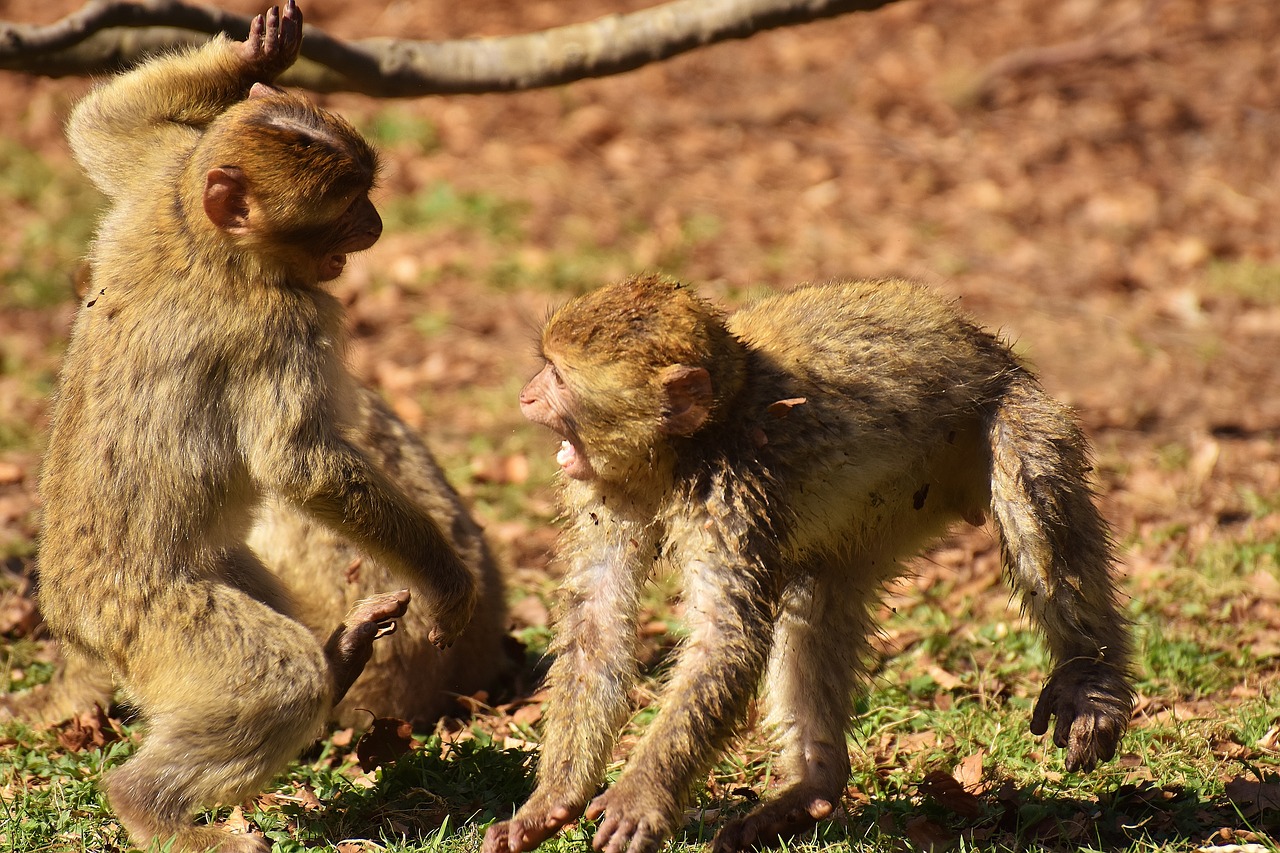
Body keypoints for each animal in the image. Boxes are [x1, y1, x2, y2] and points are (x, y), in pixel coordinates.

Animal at [34, 3, 477, 850]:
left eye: (366, 195)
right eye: (345, 208)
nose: (375, 224)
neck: (207, 240)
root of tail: (72, 615)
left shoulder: (159, 184)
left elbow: (100, 127)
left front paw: (252, 56)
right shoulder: (282, 325)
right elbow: (300, 464)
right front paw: (445, 578)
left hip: (212, 573)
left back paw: (340, 658)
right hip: (156, 619)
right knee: (279, 681)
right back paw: (150, 805)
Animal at [483, 275, 1135, 853]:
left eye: (558, 376)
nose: (526, 394)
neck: (690, 445)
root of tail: (983, 341)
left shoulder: (731, 491)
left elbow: (724, 638)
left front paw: (640, 795)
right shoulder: (609, 492)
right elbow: (598, 619)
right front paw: (552, 802)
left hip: (1016, 410)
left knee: (1033, 498)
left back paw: (1091, 680)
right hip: (882, 520)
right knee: (817, 600)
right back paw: (814, 787)